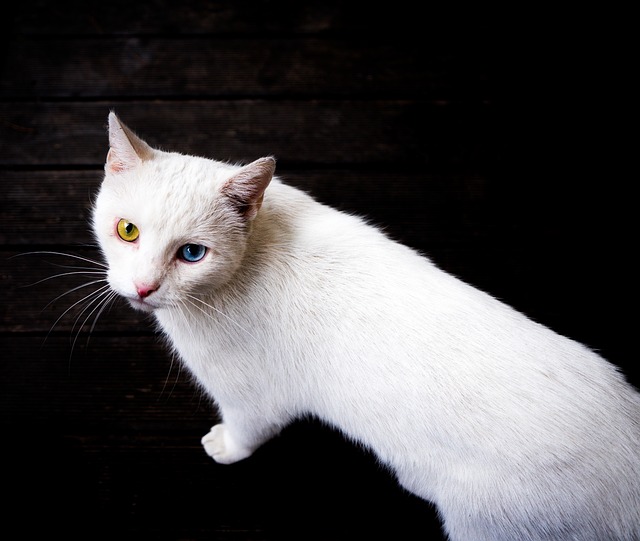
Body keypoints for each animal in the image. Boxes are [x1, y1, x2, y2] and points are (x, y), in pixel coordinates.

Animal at [91, 112, 640, 536]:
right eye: (127, 231)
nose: (143, 288)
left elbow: (248, 431)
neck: (254, 253)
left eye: (192, 254)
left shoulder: (255, 396)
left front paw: (224, 447)